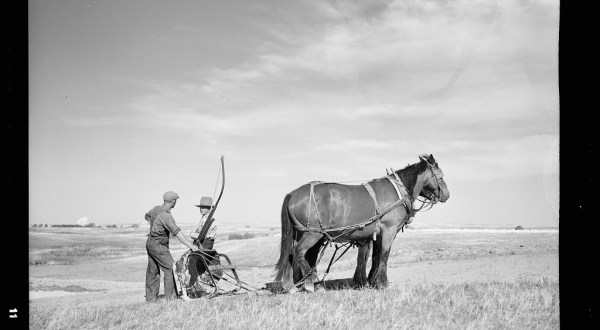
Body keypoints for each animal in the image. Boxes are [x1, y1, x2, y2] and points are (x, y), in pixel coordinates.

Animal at [274, 154, 448, 292]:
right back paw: (310, 283)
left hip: (304, 233)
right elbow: (384, 255)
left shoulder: (376, 233)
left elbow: (374, 256)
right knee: (298, 252)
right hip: (313, 233)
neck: (398, 191)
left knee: (296, 255)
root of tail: (293, 194)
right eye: (440, 176)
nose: (447, 195)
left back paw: (296, 285)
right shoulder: (389, 230)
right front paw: (382, 283)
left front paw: (372, 281)